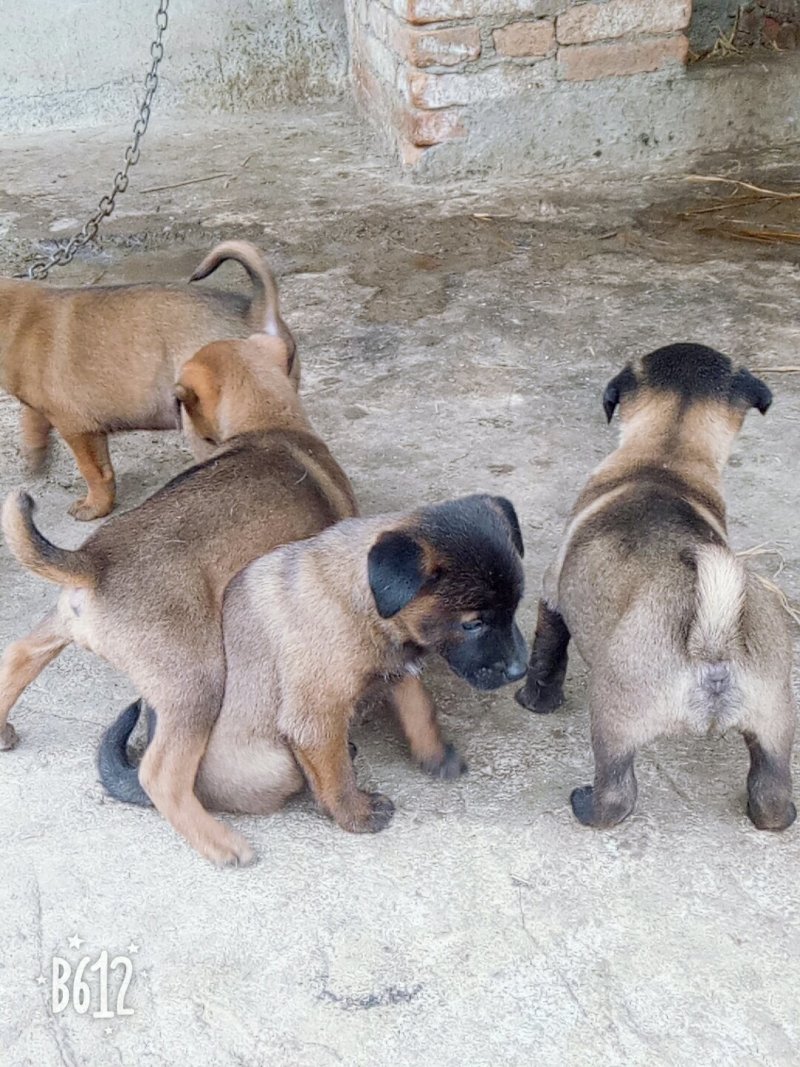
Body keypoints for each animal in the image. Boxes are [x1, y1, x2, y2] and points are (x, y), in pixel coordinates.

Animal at [0, 239, 298, 520]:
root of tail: (256, 310)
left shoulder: (77, 428)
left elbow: (94, 472)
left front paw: (94, 507)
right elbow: (33, 420)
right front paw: (35, 455)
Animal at [516, 341, 797, 832]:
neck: (665, 457)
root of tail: (712, 644)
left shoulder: (552, 593)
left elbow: (546, 656)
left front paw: (534, 701)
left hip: (613, 717)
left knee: (617, 793)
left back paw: (587, 806)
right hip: (775, 726)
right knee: (772, 796)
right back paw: (775, 813)